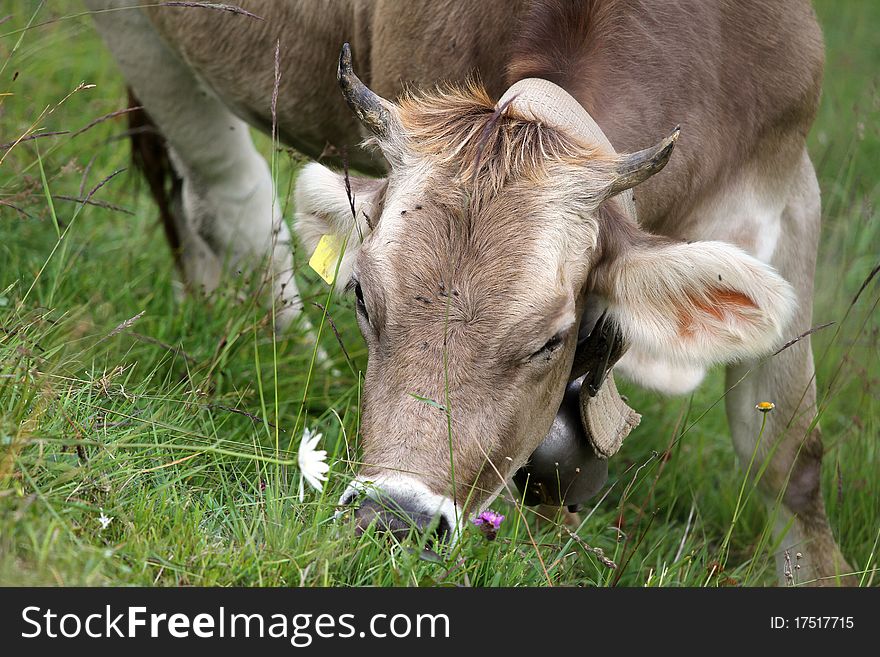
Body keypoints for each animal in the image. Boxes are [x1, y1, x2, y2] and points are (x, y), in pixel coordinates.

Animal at [86, 0, 848, 584]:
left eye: (550, 339)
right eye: (361, 299)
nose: (395, 520)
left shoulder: (790, 194)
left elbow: (789, 458)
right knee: (228, 193)